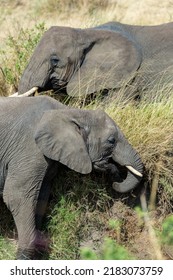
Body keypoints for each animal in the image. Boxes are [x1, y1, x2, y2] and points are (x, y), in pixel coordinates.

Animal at [0, 95, 143, 260]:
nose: (115, 176)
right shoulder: (29, 147)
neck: (70, 111)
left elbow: (41, 196)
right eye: (111, 141)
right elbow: (17, 196)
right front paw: (24, 256)